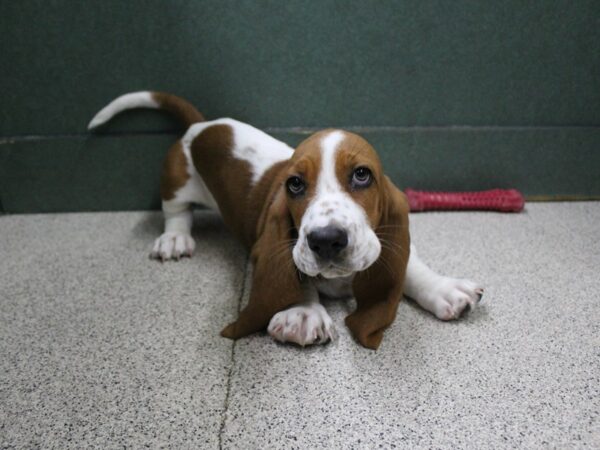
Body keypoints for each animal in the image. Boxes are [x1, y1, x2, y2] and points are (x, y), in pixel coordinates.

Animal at [89, 92, 482, 352]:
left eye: (362, 175)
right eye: (294, 184)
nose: (326, 240)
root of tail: (201, 126)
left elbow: (410, 266)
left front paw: (445, 289)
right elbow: (297, 274)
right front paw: (303, 314)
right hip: (175, 180)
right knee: (175, 212)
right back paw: (174, 240)